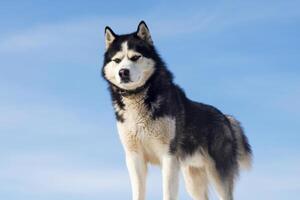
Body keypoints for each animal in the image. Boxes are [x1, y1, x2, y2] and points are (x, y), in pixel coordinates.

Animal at [102, 20, 252, 200]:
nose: (123, 72)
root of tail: (226, 118)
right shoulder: (134, 156)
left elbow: (168, 192)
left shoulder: (168, 156)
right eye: (117, 60)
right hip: (192, 179)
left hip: (218, 175)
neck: (139, 98)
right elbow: (138, 192)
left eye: (135, 57)